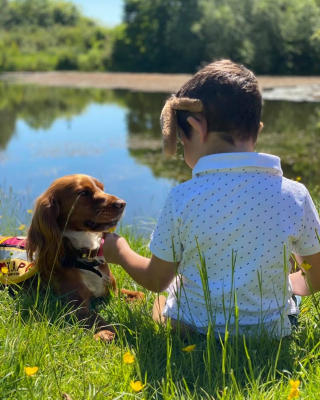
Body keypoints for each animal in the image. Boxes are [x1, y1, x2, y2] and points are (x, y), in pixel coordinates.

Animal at [0, 174, 142, 340]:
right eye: (84, 193)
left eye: (102, 188)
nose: (122, 204)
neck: (85, 257)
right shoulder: (75, 306)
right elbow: (97, 318)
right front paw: (107, 333)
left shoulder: (112, 291)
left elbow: (140, 294)